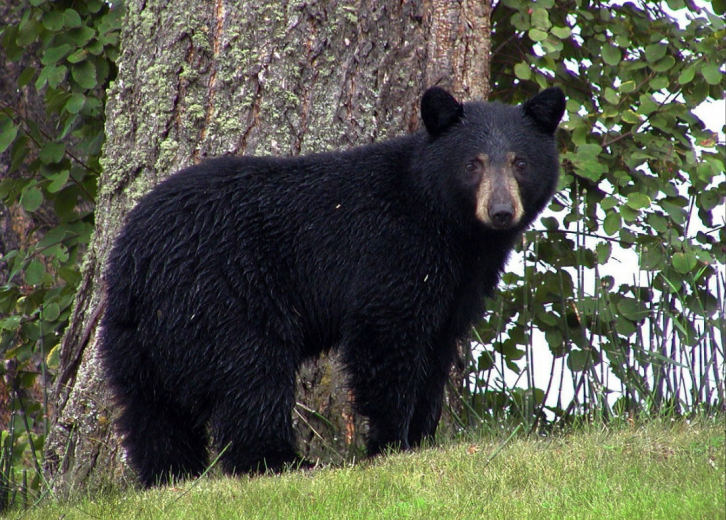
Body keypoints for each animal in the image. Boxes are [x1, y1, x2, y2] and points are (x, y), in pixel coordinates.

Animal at [99, 85, 568, 488]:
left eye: (520, 162)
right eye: (473, 163)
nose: (501, 211)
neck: (448, 226)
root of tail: (136, 259)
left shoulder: (458, 285)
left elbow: (437, 351)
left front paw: (423, 438)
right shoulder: (393, 252)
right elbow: (386, 340)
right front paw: (391, 444)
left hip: (135, 335)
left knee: (151, 411)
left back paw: (170, 475)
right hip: (223, 295)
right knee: (250, 376)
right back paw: (282, 462)